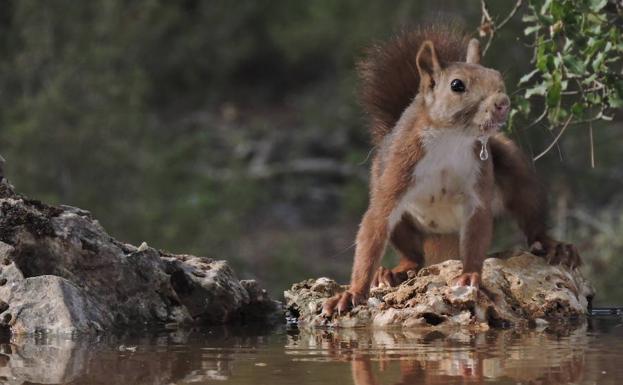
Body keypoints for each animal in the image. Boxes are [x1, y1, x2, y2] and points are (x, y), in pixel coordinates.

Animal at [324, 25, 584, 316]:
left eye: (498, 78)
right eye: (457, 85)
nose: (502, 102)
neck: (451, 139)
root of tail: (443, 239)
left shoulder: (478, 187)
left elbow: (476, 233)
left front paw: (470, 275)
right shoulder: (397, 172)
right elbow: (375, 225)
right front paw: (352, 293)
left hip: (514, 168)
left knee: (531, 220)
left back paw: (555, 247)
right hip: (398, 212)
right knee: (414, 255)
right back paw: (393, 272)